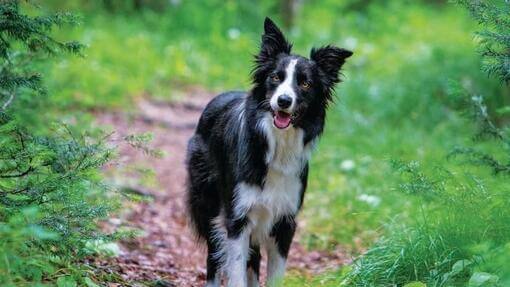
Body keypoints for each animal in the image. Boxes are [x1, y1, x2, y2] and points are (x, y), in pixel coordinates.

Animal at [186, 18, 350, 287]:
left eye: (305, 83)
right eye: (275, 77)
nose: (283, 101)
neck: (278, 146)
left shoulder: (284, 222)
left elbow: (273, 274)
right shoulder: (237, 218)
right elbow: (236, 272)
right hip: (208, 203)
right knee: (214, 255)